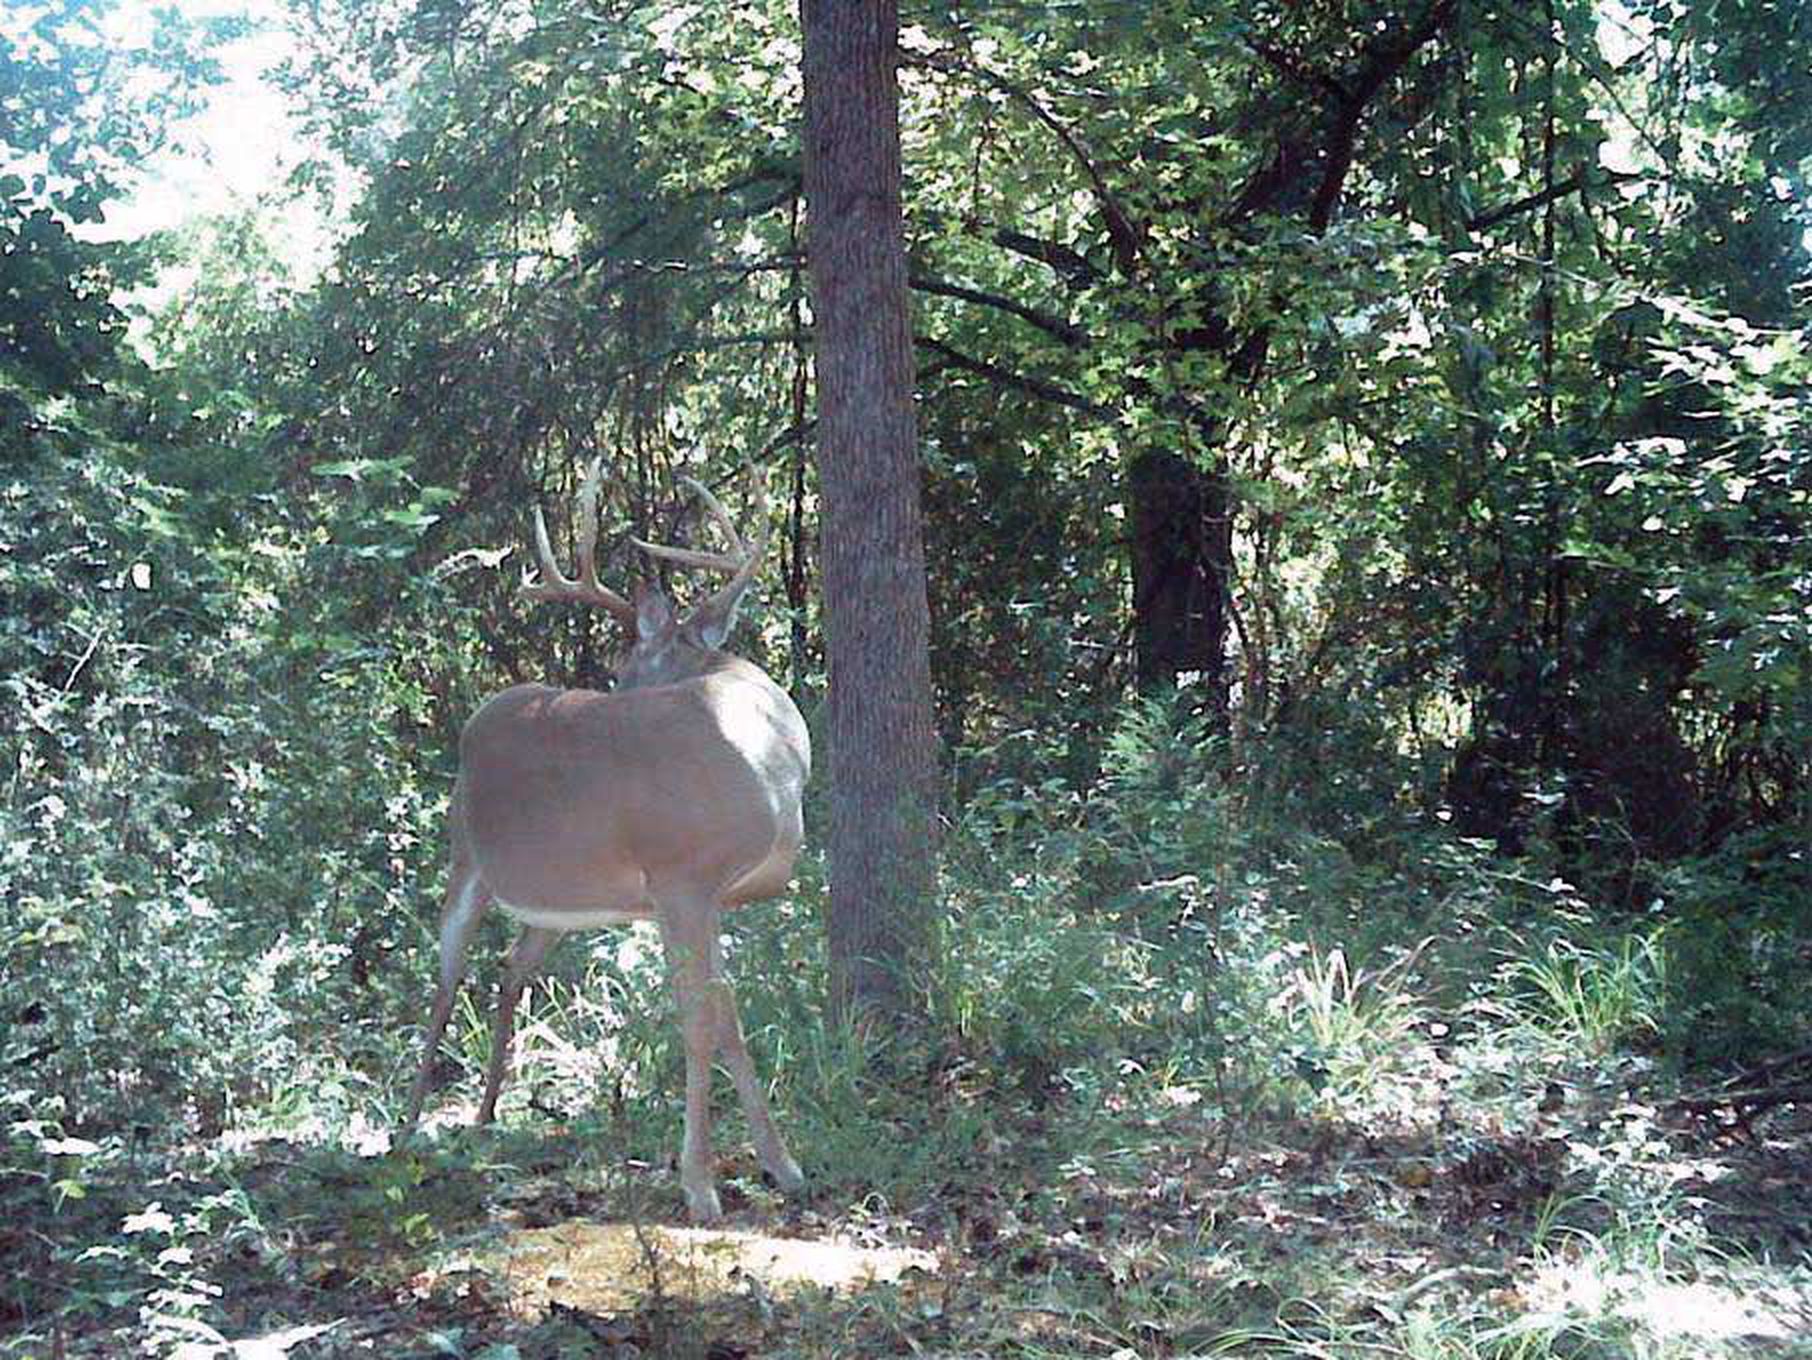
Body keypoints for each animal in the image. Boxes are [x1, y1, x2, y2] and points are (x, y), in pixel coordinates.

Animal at [411, 467, 815, 1224]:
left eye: (633, 663)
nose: (615, 688)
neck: (770, 755)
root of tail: (483, 713)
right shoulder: (680, 878)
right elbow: (700, 1020)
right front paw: (699, 1185)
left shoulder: (711, 897)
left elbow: (728, 1015)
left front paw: (783, 1164)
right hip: (465, 857)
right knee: (446, 979)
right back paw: (407, 1127)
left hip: (556, 904)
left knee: (510, 968)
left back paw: (483, 1120)